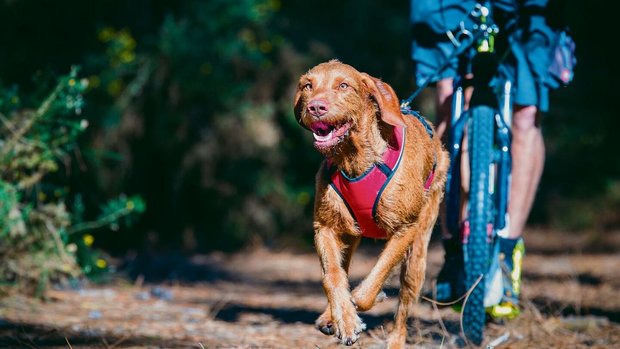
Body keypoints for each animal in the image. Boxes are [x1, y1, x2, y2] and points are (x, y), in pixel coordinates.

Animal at [294, 59, 448, 346]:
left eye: (344, 85)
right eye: (308, 85)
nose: (316, 107)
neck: (355, 158)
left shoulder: (406, 229)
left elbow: (373, 281)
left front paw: (362, 301)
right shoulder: (325, 227)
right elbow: (332, 276)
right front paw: (344, 319)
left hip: (418, 253)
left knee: (404, 305)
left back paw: (395, 340)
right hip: (350, 234)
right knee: (342, 267)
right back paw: (331, 315)